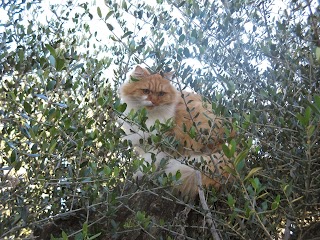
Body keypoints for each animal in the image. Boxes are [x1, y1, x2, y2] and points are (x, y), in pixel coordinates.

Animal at [119, 65, 234, 199]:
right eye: (146, 91)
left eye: (161, 94)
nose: (154, 102)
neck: (145, 118)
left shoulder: (165, 142)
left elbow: (149, 160)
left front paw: (140, 174)